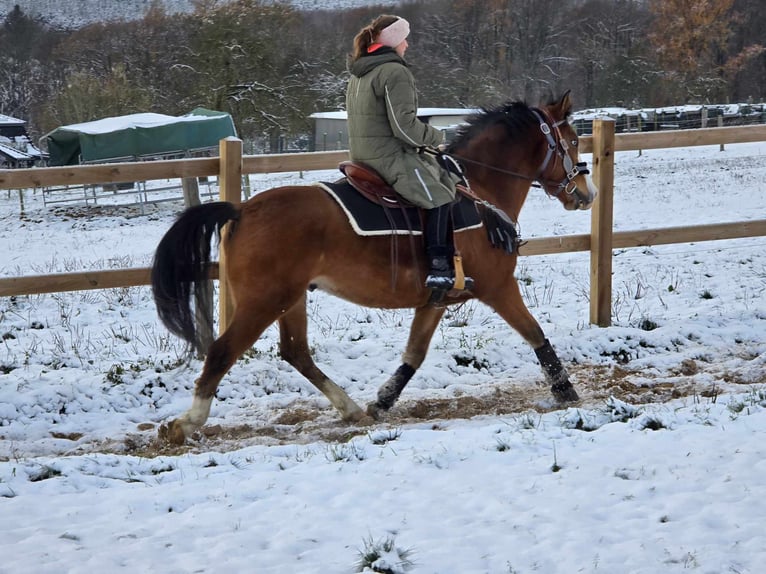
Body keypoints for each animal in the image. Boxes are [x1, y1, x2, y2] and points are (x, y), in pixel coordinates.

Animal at [152, 91, 600, 446]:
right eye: (572, 141)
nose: (587, 193)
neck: (480, 189)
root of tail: (242, 210)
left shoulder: (436, 300)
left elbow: (414, 355)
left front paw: (383, 401)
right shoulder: (499, 287)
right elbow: (535, 334)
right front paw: (566, 391)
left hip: (290, 299)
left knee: (296, 353)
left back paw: (350, 409)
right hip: (264, 301)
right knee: (222, 352)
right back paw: (187, 423)